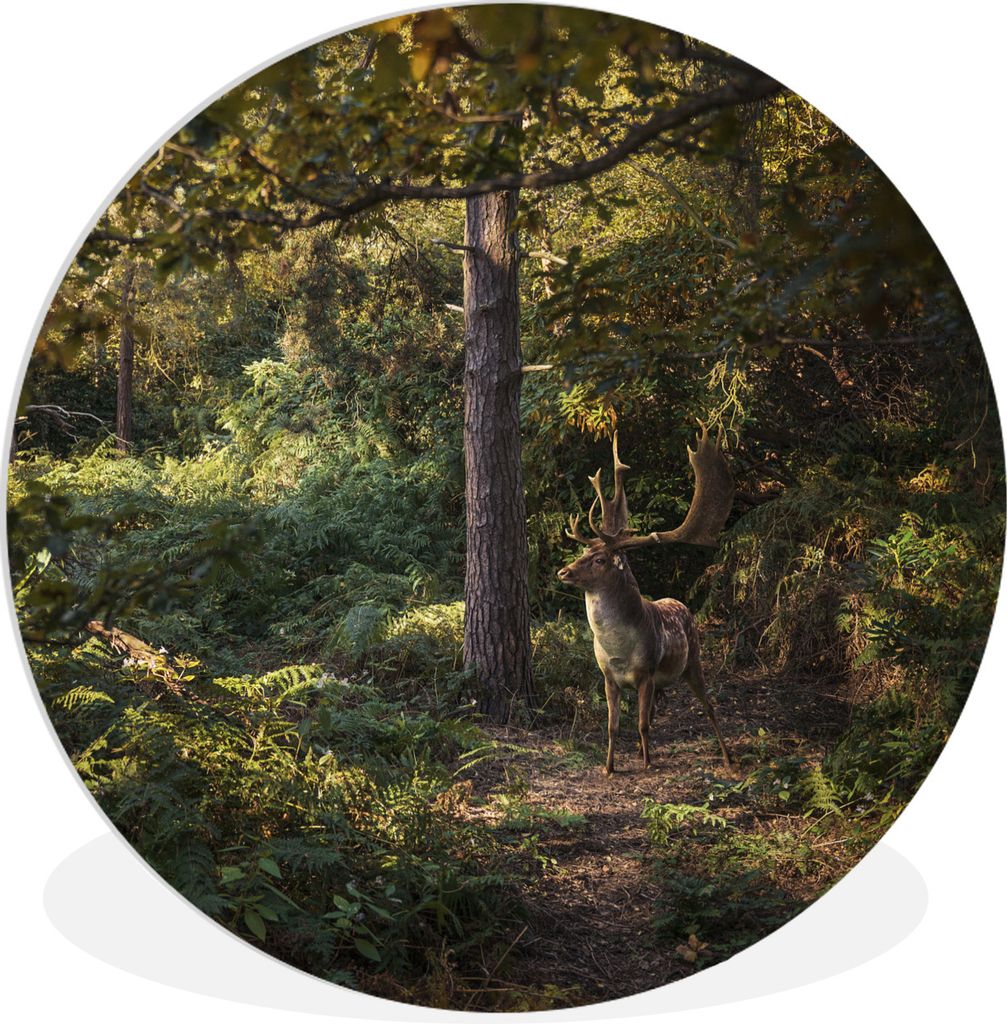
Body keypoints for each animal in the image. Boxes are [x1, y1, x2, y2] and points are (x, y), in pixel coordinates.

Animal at [556, 426, 734, 775]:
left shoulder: (647, 673)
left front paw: (648, 764)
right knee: (657, 710)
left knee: (709, 708)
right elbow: (613, 726)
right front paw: (610, 767)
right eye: (584, 551)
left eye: (600, 559)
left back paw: (726, 757)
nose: (563, 571)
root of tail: (681, 604)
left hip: (693, 661)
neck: (619, 650)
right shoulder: (608, 678)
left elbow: (641, 724)